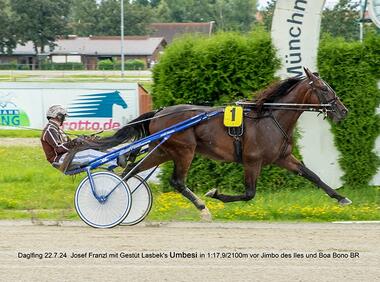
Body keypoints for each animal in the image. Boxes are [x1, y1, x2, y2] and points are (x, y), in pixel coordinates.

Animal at [95, 68, 350, 220]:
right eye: (324, 88)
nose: (343, 111)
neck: (271, 118)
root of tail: (158, 112)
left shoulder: (283, 158)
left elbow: (312, 175)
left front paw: (341, 198)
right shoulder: (252, 160)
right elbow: (249, 193)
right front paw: (215, 193)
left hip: (164, 151)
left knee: (131, 171)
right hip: (184, 150)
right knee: (176, 181)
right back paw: (202, 208)